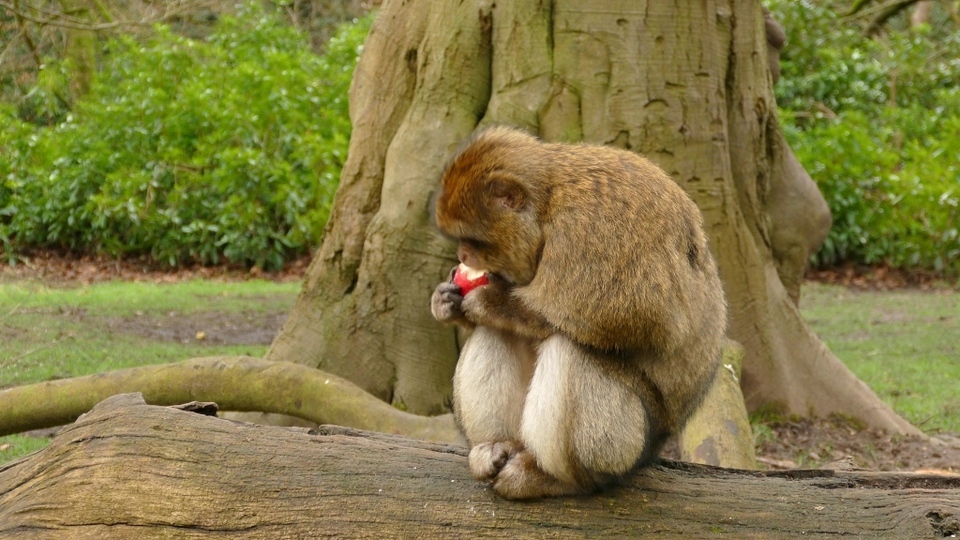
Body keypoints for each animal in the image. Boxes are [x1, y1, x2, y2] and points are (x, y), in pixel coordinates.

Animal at [432, 127, 724, 502]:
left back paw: (555, 478)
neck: (547, 205)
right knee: (498, 332)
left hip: (629, 444)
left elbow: (637, 317)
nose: (462, 255)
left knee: (570, 349)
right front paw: (445, 302)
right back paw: (497, 446)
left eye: (473, 240)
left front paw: (490, 302)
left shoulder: (588, 230)